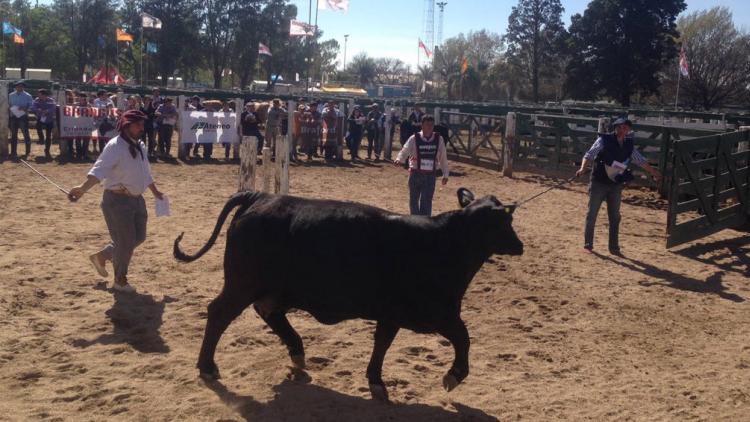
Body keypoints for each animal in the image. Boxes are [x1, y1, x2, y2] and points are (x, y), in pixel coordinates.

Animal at [175, 189, 524, 402]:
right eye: (505, 221)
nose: (519, 245)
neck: (444, 242)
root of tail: (261, 196)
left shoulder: (392, 314)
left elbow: (382, 344)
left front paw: (376, 382)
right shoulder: (440, 314)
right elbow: (463, 339)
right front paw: (453, 376)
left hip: (270, 288)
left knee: (269, 312)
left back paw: (298, 352)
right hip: (242, 283)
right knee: (219, 313)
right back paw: (207, 366)